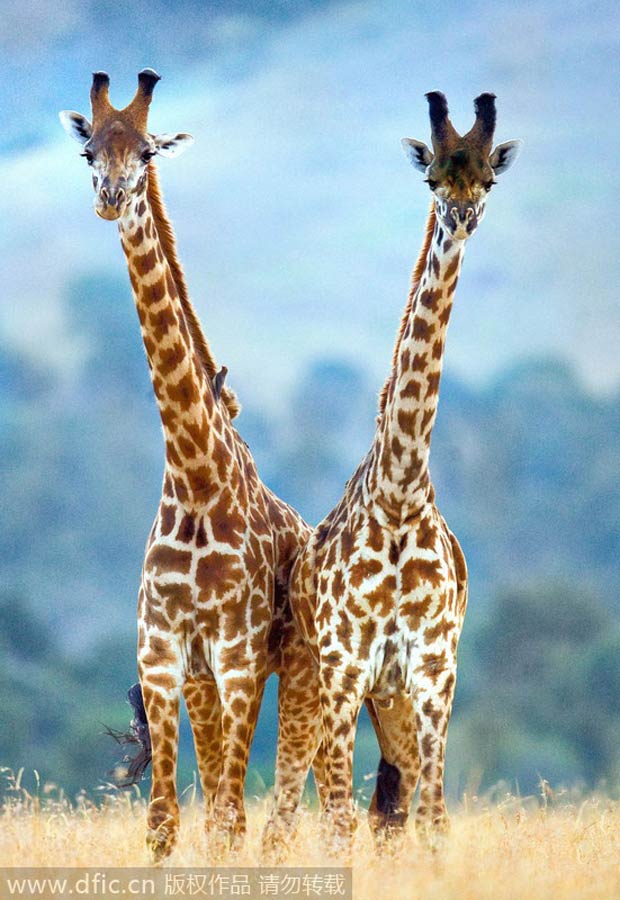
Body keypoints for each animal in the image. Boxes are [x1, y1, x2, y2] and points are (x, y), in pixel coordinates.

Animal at [59, 69, 323, 862]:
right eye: (89, 150)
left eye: (146, 151)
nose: (110, 196)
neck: (196, 477)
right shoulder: (163, 652)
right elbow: (165, 825)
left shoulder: (237, 654)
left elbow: (229, 815)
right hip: (207, 682)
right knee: (219, 809)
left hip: (293, 672)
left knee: (281, 802)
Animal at [286, 91, 521, 854]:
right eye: (431, 179)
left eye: (487, 178)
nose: (461, 216)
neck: (397, 494)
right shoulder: (345, 667)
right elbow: (336, 823)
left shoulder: (435, 671)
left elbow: (434, 819)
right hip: (333, 693)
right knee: (323, 807)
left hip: (393, 704)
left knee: (391, 811)